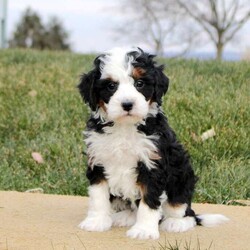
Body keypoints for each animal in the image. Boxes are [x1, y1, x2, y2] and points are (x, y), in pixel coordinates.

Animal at [78, 47, 229, 240]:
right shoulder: (98, 160)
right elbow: (98, 196)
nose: (127, 104)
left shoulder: (152, 164)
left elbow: (148, 201)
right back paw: (125, 216)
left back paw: (176, 223)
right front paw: (96, 221)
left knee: (184, 210)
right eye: (111, 86)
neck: (125, 127)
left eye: (140, 83)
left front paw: (143, 230)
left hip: (182, 177)